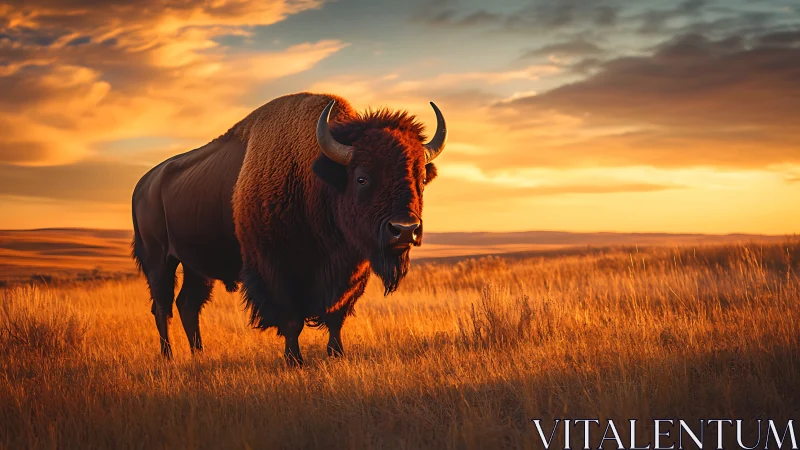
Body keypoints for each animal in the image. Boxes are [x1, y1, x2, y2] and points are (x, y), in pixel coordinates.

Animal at [131, 93, 446, 365]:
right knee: (163, 307)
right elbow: (291, 319)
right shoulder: (275, 267)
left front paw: (336, 355)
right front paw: (294, 361)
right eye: (362, 178)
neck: (316, 178)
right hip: (159, 259)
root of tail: (144, 184)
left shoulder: (352, 271)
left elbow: (337, 315)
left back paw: (199, 354)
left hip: (197, 267)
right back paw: (168, 356)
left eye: (420, 177)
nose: (404, 229)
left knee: (188, 304)